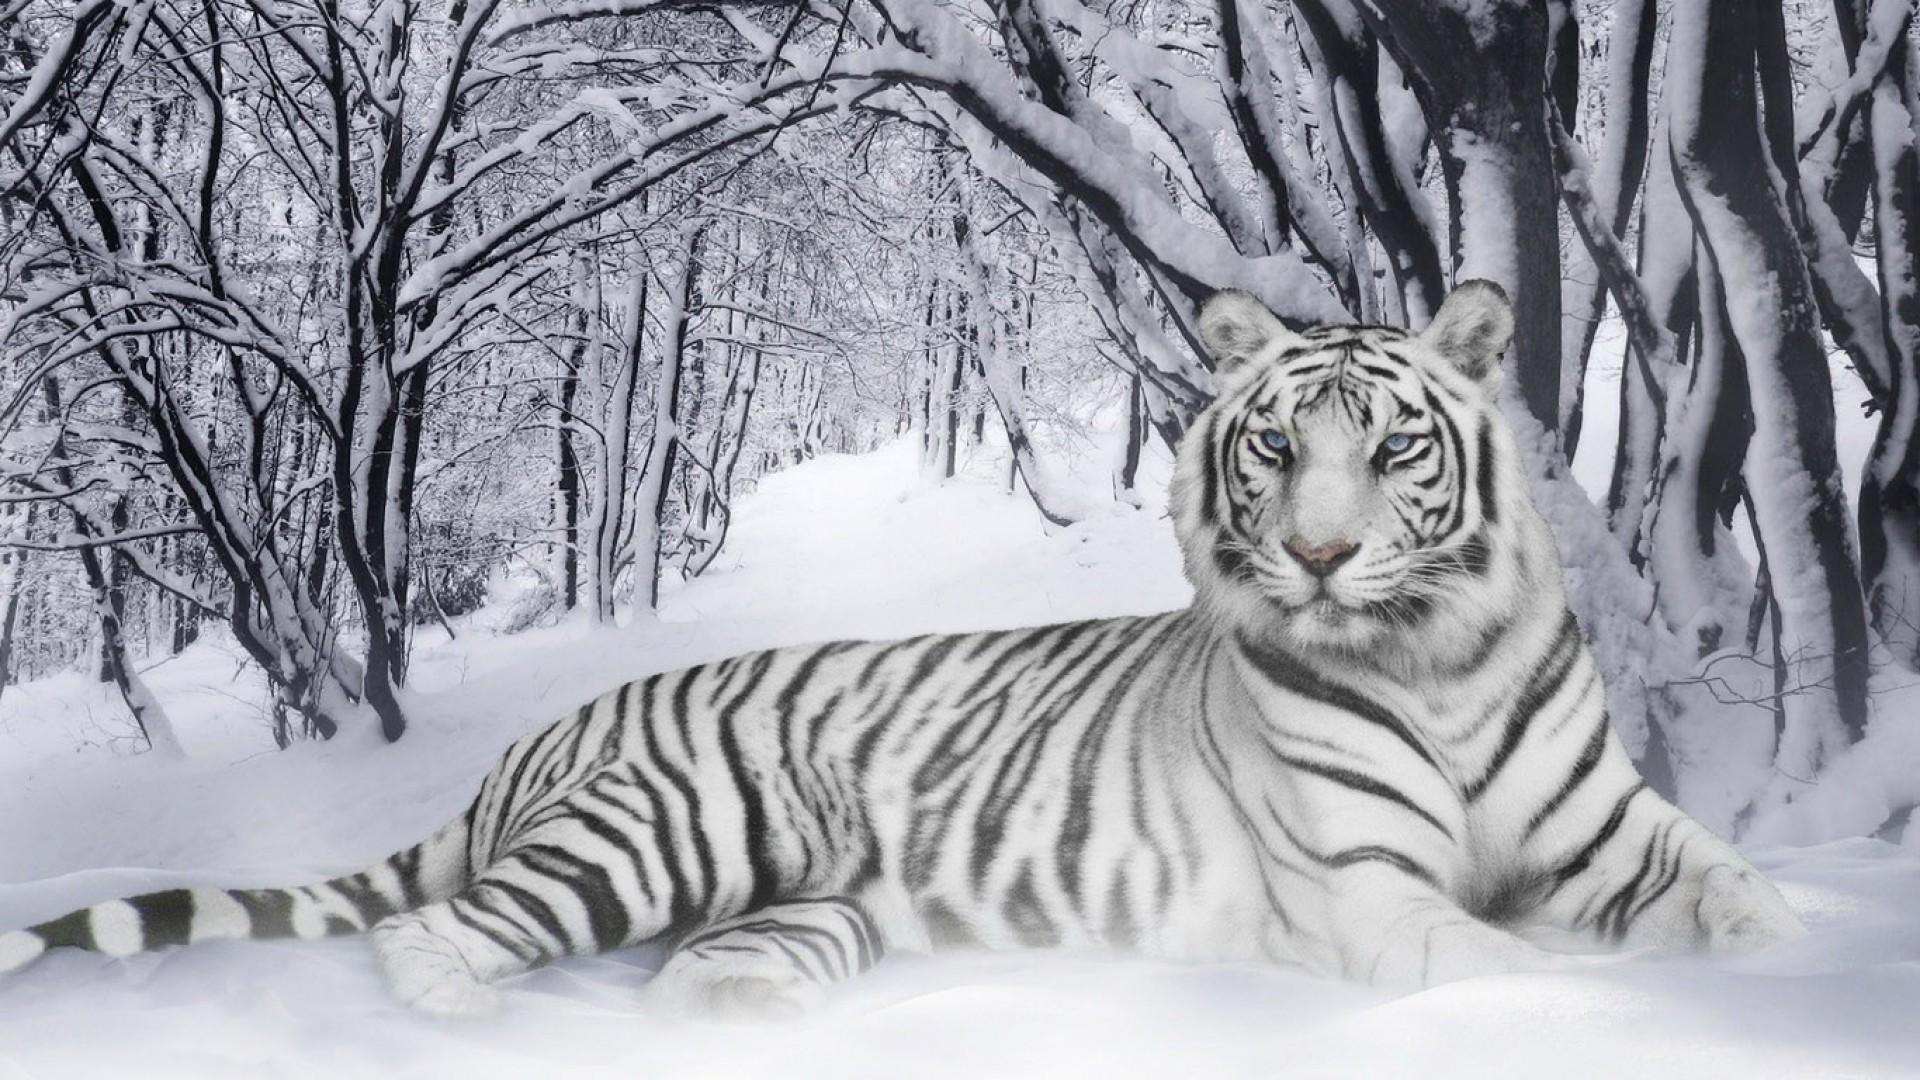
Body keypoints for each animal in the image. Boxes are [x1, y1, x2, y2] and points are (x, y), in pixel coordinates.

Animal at [0, 281, 1805, 1019]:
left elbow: (1744, 901)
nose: (1316, 555)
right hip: (659, 833)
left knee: (695, 972)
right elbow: (1522, 967)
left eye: (1396, 448)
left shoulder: (1619, 834)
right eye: (1278, 449)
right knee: (435, 935)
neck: (1435, 657)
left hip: (805, 908)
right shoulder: (1370, 894)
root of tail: (546, 732)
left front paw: (1796, 972)